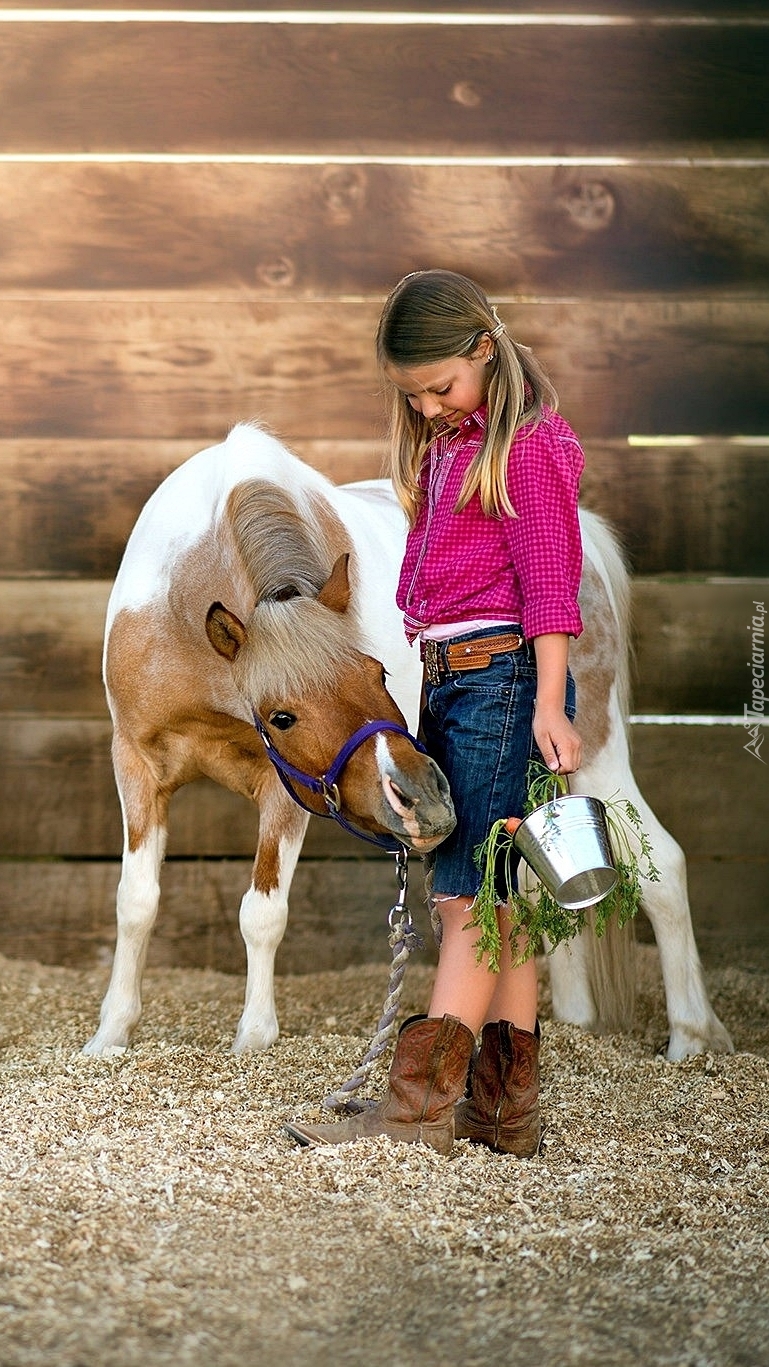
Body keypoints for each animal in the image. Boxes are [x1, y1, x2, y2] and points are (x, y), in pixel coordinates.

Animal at [84, 421, 732, 1060]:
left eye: (378, 673)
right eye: (282, 717)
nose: (421, 795)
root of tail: (583, 543)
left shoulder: (283, 786)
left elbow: (261, 914)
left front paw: (254, 1040)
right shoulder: (136, 763)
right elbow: (135, 902)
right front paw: (111, 1035)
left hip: (594, 752)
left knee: (663, 868)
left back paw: (692, 1038)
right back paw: (573, 1021)